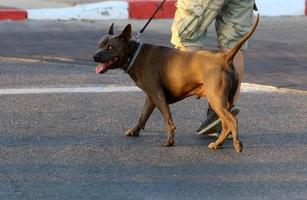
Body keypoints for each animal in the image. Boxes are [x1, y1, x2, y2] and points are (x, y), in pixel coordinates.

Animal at [93, 14, 260, 152]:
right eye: (99, 44)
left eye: (110, 47)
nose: (95, 56)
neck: (134, 53)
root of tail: (225, 57)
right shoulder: (151, 97)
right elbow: (143, 116)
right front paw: (135, 131)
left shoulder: (158, 95)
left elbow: (168, 119)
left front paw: (169, 141)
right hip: (223, 100)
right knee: (226, 123)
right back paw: (219, 143)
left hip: (215, 99)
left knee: (232, 121)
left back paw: (236, 144)